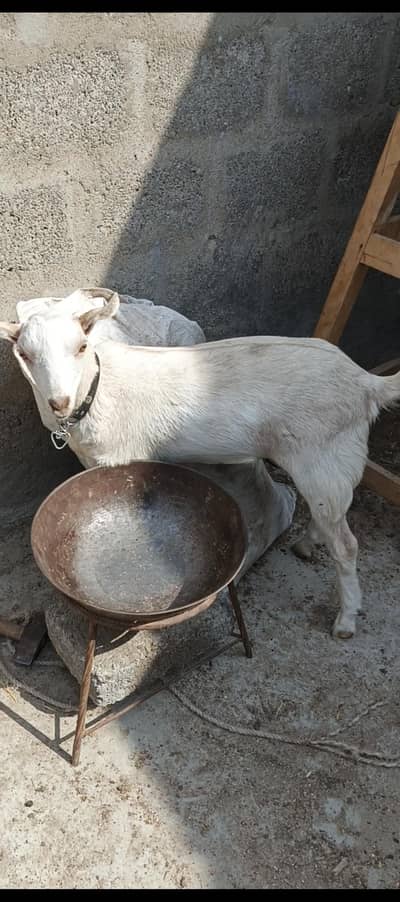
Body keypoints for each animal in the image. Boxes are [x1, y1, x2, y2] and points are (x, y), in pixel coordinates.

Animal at [1, 288, 399, 640]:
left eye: (81, 347)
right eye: (24, 354)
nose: (59, 402)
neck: (97, 390)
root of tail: (366, 383)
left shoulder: (121, 458)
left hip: (321, 454)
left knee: (345, 543)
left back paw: (347, 618)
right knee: (329, 515)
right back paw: (309, 543)